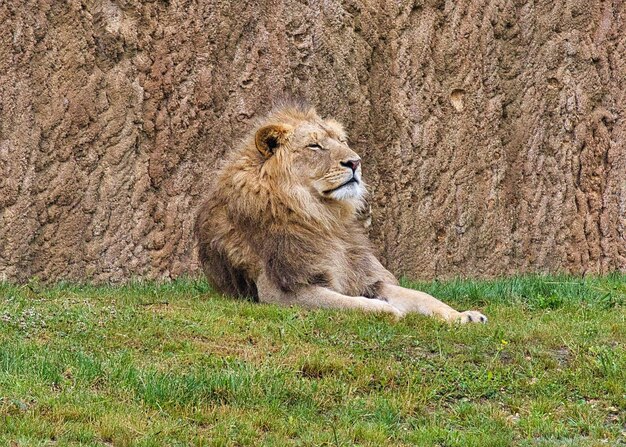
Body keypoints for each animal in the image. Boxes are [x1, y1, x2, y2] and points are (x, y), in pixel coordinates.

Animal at [193, 103, 486, 324]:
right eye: (314, 146)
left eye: (342, 141)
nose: (355, 162)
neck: (324, 217)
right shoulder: (280, 291)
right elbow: (348, 303)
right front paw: (389, 311)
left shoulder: (365, 277)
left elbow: (422, 296)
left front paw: (464, 316)